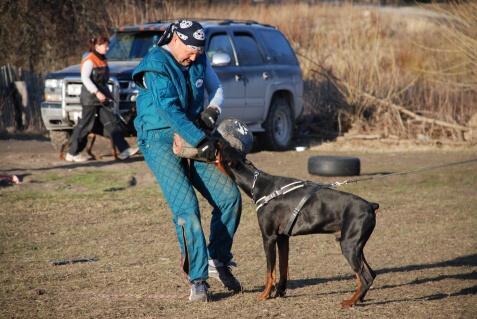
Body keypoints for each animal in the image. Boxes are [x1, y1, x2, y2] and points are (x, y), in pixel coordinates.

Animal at [217, 144, 380, 308]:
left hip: (348, 245)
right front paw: (279, 293)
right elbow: (283, 269)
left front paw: (265, 295)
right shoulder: (283, 238)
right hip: (356, 246)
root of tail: (370, 206)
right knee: (371, 274)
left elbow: (270, 271)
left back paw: (350, 301)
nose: (216, 140)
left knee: (365, 278)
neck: (258, 184)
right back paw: (359, 299)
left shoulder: (269, 237)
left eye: (221, 149)